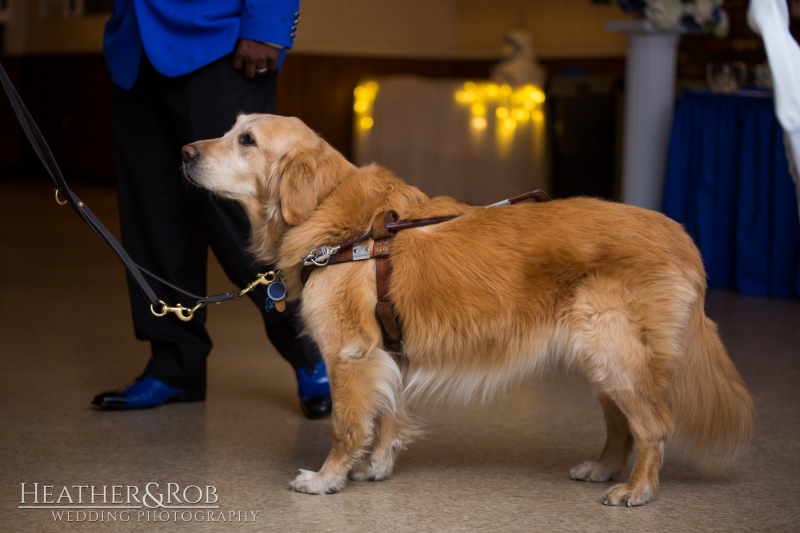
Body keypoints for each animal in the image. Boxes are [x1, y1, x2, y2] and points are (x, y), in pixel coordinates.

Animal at [181, 114, 756, 504]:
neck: (336, 219)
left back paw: (636, 490)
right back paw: (605, 468)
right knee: (622, 424)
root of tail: (682, 237)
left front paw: (327, 478)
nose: (184, 150)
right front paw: (376, 467)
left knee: (653, 425)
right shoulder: (386, 355)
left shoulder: (349, 356)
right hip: (598, 357)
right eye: (232, 130)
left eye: (247, 140)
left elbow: (347, 427)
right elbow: (387, 417)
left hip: (613, 352)